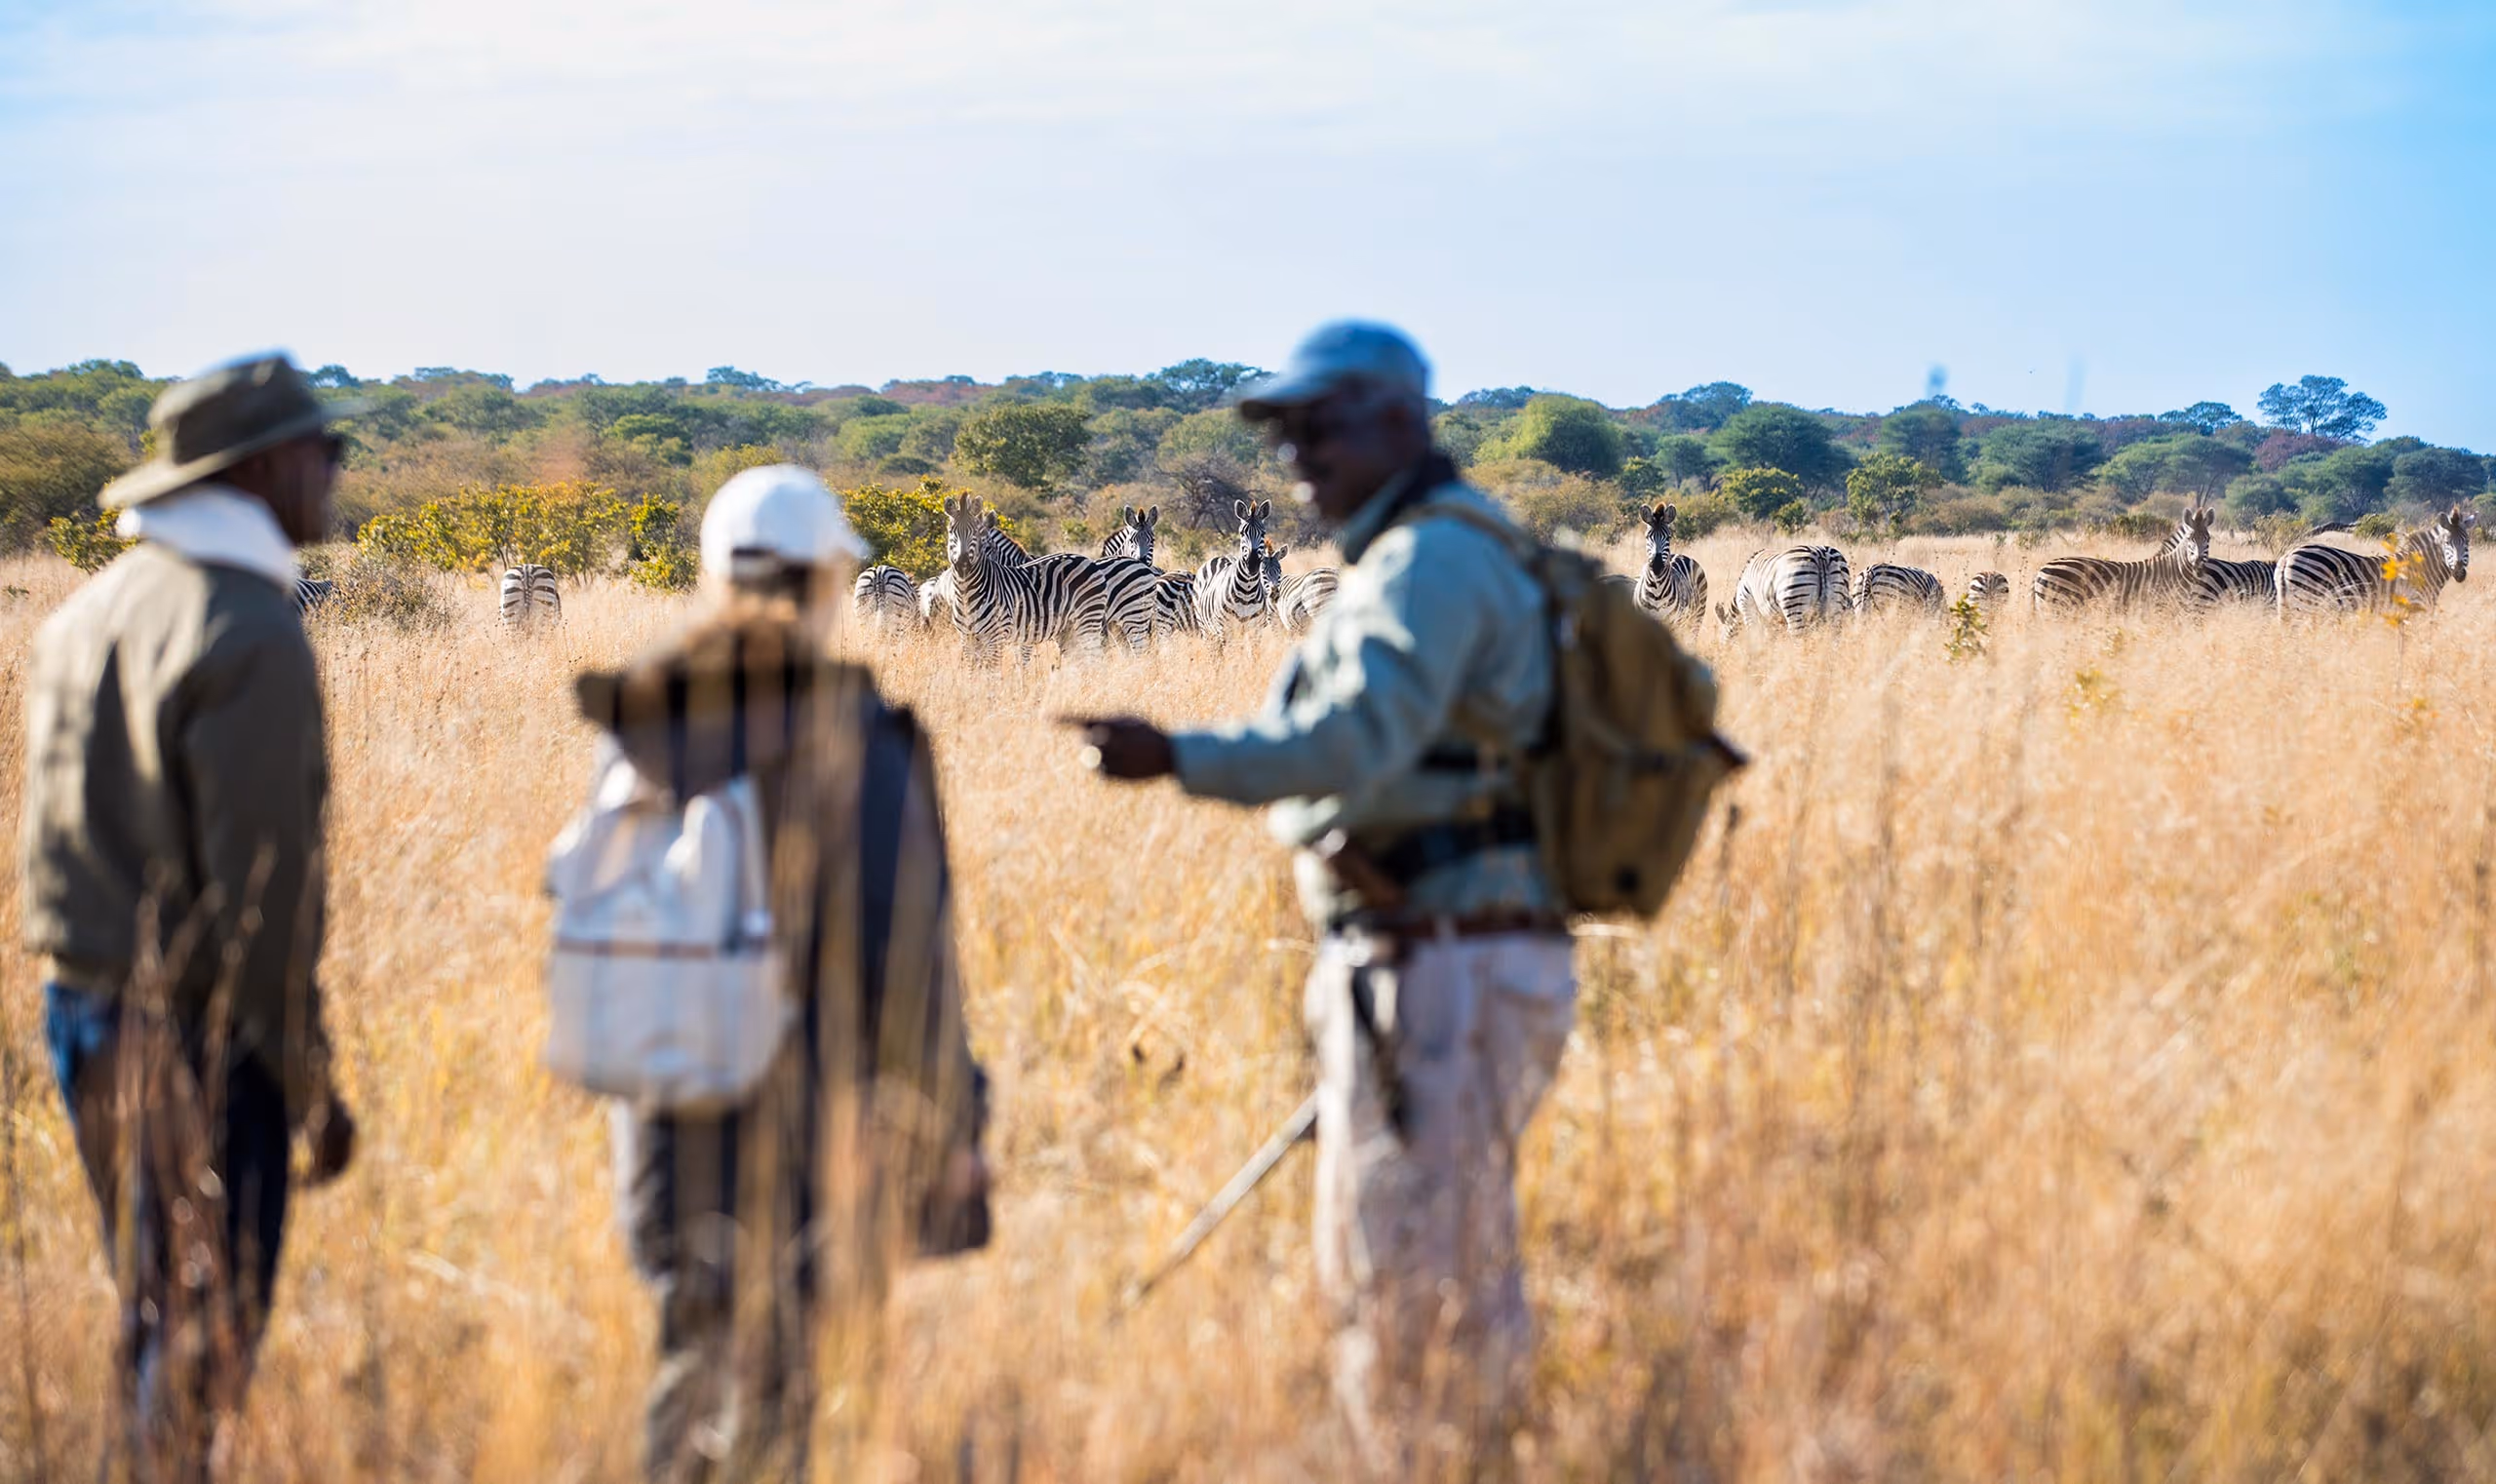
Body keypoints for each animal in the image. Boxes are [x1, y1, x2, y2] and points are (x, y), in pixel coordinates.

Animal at [936, 493, 1106, 665]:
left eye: (977, 535)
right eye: (951, 532)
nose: (963, 564)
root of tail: (1088, 560)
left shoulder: (1013, 636)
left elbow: (1015, 665)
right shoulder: (968, 639)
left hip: (1088, 621)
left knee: (1095, 658)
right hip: (1068, 629)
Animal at [1193, 498, 1274, 640]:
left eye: (1263, 533)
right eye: (1242, 533)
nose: (1252, 565)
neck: (1247, 591)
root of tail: (1221, 557)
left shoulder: (1256, 631)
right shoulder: (1225, 630)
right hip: (1206, 627)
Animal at [2032, 505, 2214, 612]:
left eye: (2208, 538)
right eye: (2189, 539)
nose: (2198, 562)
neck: (2175, 570)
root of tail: (2041, 569)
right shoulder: (2160, 607)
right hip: (2057, 606)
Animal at [2278, 504, 2475, 616]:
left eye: (2467, 542)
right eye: (2447, 543)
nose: (2459, 573)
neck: (2423, 568)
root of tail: (2288, 555)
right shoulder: (2415, 605)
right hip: (2308, 599)